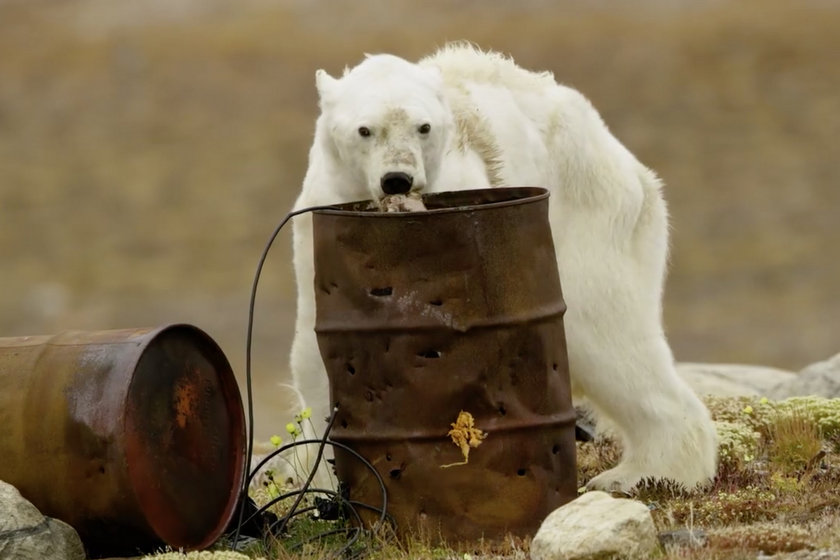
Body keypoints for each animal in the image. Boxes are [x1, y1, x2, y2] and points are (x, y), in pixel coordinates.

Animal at [288, 42, 716, 490]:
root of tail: (630, 165)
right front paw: (320, 476)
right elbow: (317, 352)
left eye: (423, 127)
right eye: (365, 130)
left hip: (588, 221)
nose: (398, 179)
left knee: (606, 334)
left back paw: (640, 473)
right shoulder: (318, 222)